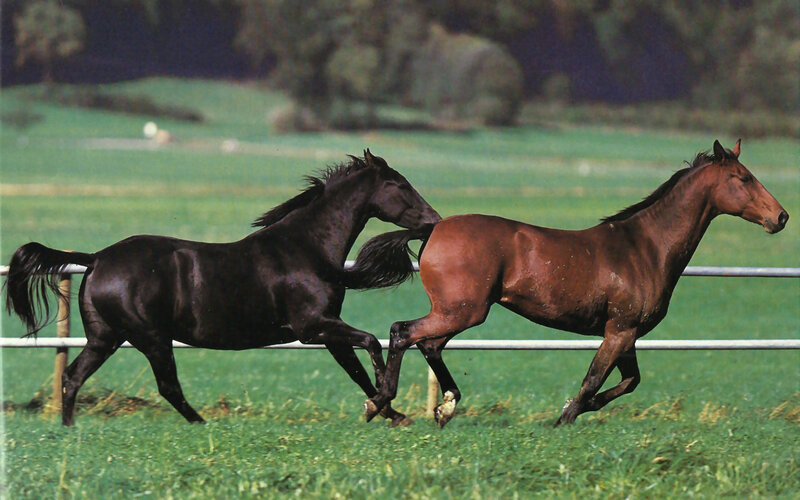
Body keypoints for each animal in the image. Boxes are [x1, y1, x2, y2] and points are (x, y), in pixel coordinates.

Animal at [5, 150, 441, 426]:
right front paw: (381, 403)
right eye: (399, 184)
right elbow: (369, 344)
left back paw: (68, 430)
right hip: (151, 337)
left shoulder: (327, 329)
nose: (434, 220)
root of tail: (96, 258)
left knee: (73, 376)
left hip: (105, 337)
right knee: (167, 385)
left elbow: (356, 370)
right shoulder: (313, 326)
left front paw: (389, 413)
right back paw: (202, 424)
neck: (307, 248)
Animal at [352, 139, 788, 427]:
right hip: (462, 311)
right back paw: (381, 404)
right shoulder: (619, 330)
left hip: (456, 312)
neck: (645, 247)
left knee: (427, 344)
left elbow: (628, 381)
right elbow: (594, 379)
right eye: (743, 178)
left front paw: (571, 408)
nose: (781, 217)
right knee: (404, 332)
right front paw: (564, 417)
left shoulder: (627, 333)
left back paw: (443, 408)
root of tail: (433, 229)